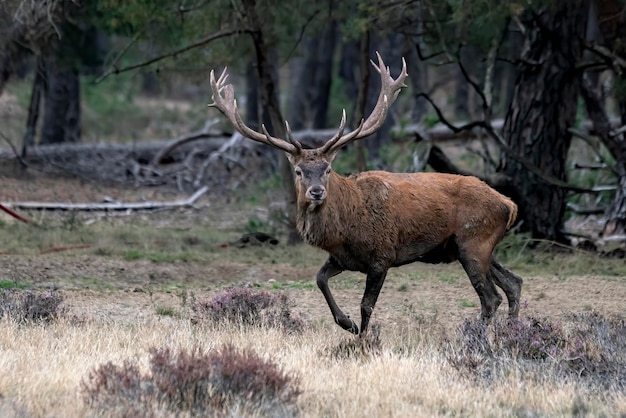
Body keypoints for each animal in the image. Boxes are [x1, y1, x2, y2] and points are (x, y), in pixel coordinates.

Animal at [208, 52, 520, 336]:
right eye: (298, 171)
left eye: (328, 169)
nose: (316, 192)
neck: (344, 230)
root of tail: (509, 204)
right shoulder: (343, 258)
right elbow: (319, 279)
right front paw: (347, 323)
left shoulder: (382, 256)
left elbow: (366, 305)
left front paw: (361, 338)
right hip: (474, 247)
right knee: (514, 283)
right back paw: (511, 332)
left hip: (473, 241)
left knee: (491, 297)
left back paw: (475, 335)